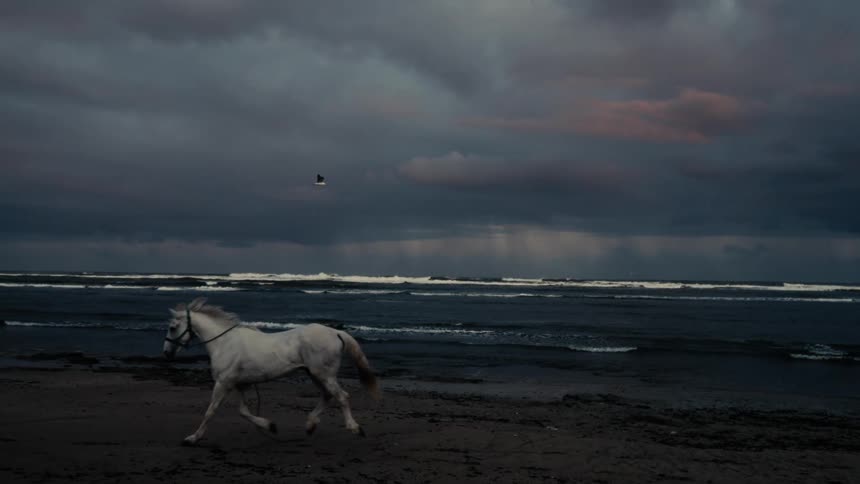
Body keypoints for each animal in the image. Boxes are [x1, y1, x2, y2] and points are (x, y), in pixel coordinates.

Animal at [162, 297, 379, 445]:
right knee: (327, 396)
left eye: (172, 327)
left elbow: (211, 411)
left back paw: (355, 428)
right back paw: (310, 426)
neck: (223, 343)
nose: (166, 353)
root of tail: (335, 332)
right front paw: (270, 426)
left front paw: (192, 438)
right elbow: (243, 412)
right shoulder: (238, 384)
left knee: (342, 396)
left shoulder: (223, 383)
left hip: (323, 374)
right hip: (315, 374)